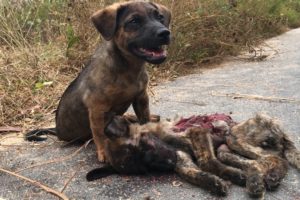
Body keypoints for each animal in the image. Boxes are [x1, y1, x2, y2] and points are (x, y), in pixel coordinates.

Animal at [26, 1, 171, 162]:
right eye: (134, 21)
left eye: (160, 17)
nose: (165, 33)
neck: (129, 68)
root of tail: (56, 130)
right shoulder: (98, 108)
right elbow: (99, 133)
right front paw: (103, 152)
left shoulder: (141, 98)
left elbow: (145, 119)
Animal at [86, 113, 300, 198]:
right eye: (144, 168)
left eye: (143, 147)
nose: (169, 162)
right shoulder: (183, 164)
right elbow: (196, 174)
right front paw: (215, 183)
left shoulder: (197, 133)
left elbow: (206, 162)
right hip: (226, 149)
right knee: (266, 162)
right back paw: (263, 178)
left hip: (234, 137)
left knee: (272, 158)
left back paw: (257, 180)